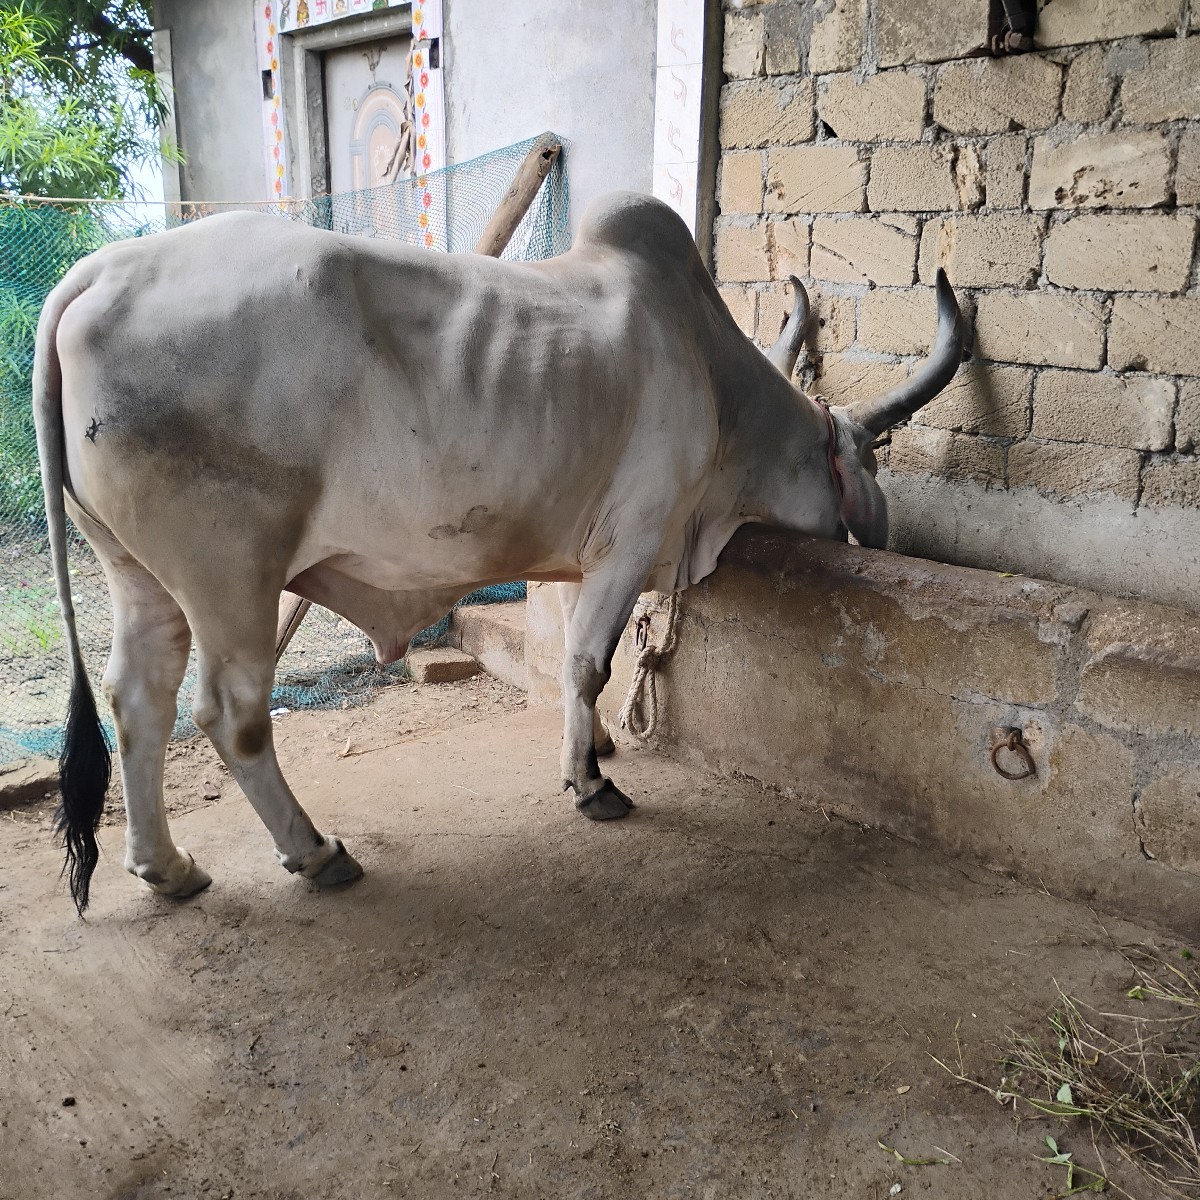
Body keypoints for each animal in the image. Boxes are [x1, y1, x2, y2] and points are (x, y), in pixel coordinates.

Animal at [34, 191, 963, 914]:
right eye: (863, 459)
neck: (715, 381)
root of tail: (96, 276)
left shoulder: (596, 555)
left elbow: (586, 665)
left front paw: (595, 747)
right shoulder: (632, 535)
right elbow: (587, 662)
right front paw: (591, 784)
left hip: (140, 576)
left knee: (137, 702)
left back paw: (168, 868)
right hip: (232, 574)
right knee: (230, 714)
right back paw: (315, 853)